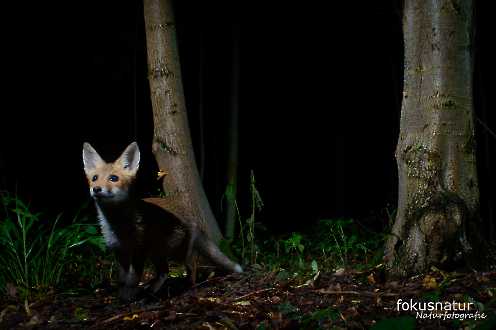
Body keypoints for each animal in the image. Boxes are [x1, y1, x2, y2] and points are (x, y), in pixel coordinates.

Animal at [82, 142, 241, 302]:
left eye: (113, 178)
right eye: (94, 178)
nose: (96, 189)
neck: (118, 225)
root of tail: (191, 216)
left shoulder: (139, 250)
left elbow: (133, 280)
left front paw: (129, 298)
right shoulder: (119, 251)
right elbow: (122, 280)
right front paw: (122, 297)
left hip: (173, 252)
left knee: (190, 264)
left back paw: (188, 286)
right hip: (156, 252)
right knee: (164, 272)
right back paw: (152, 292)